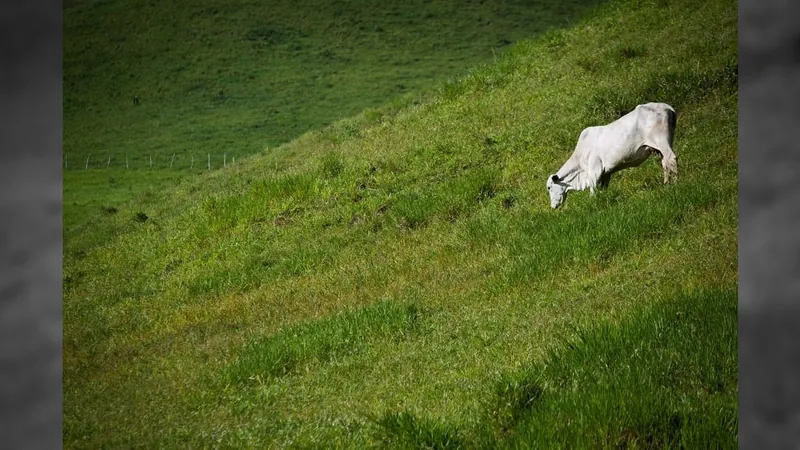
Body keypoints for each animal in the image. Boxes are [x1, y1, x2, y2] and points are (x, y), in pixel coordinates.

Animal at [544, 102, 676, 209]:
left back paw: (675, 184)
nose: (553, 207)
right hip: (662, 146)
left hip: (661, 141)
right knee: (665, 163)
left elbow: (593, 191)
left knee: (671, 159)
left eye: (549, 187)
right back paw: (666, 184)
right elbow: (603, 188)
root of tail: (666, 106)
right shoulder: (606, 173)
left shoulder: (594, 170)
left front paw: (593, 203)